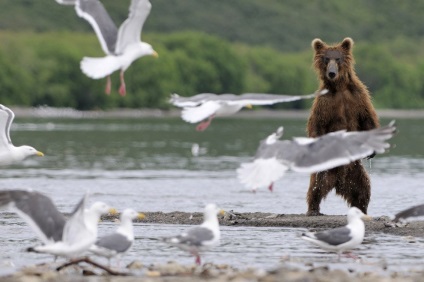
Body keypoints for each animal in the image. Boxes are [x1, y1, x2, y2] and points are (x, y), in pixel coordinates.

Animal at [306, 38, 380, 216]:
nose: (331, 73)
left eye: (338, 59)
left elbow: (367, 118)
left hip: (355, 171)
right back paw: (313, 209)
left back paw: (361, 209)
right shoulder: (324, 103)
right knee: (315, 186)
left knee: (363, 189)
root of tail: (338, 181)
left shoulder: (358, 97)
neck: (338, 87)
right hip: (325, 170)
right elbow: (317, 125)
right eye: (326, 59)